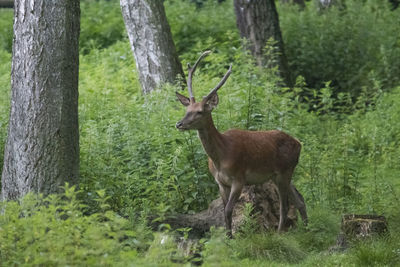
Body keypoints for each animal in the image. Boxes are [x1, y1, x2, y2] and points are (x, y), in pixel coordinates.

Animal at [176, 51, 310, 238]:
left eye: (200, 112)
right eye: (186, 110)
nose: (179, 124)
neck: (220, 158)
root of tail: (299, 143)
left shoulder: (239, 178)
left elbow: (228, 210)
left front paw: (231, 238)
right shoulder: (220, 182)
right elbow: (224, 211)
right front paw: (227, 237)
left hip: (285, 170)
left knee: (285, 205)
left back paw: (279, 233)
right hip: (280, 174)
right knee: (300, 199)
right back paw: (308, 229)